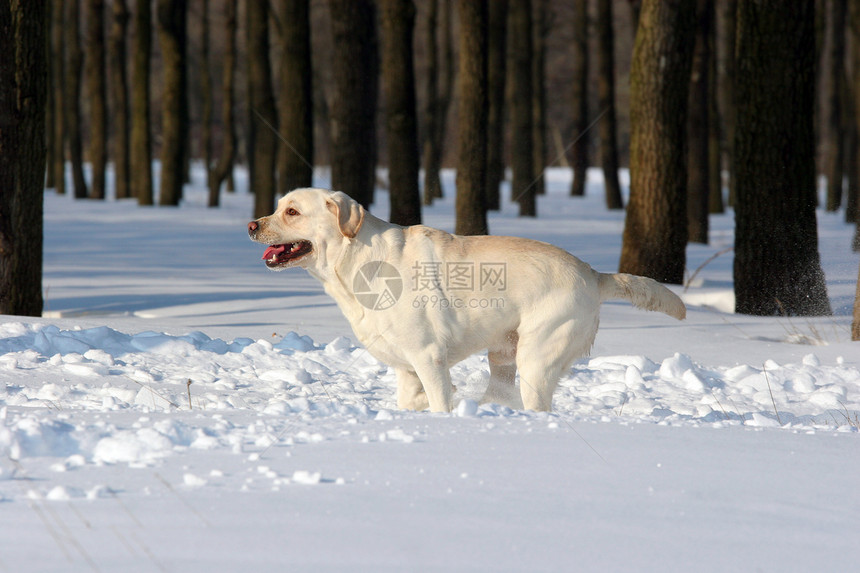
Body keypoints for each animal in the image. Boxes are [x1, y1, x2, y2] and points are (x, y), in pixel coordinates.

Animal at [249, 188, 684, 412]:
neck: (355, 261)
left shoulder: (428, 358)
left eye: (291, 212)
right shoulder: (407, 368)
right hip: (503, 355)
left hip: (537, 357)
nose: (252, 225)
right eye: (277, 207)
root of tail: (594, 273)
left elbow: (440, 400)